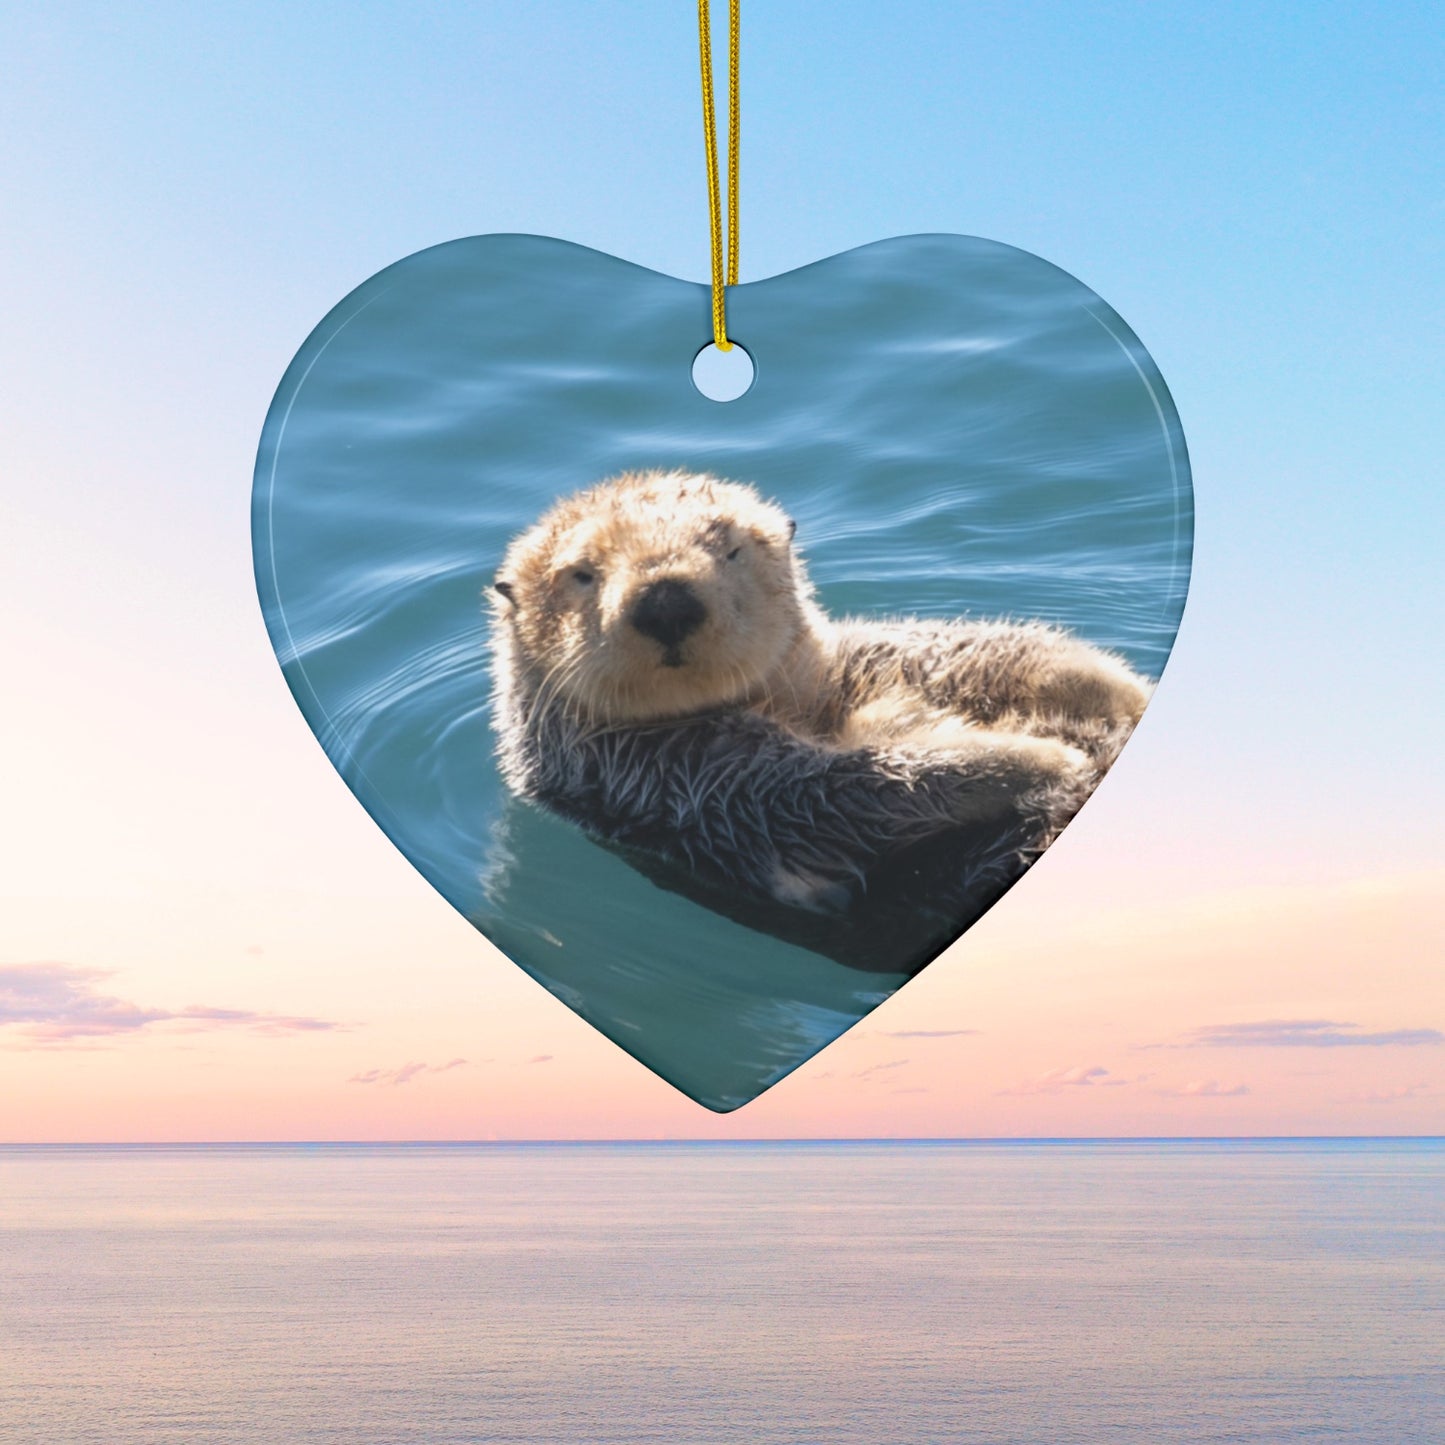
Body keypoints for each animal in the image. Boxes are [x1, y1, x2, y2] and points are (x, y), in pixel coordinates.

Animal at [489, 470, 1150, 969]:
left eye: (729, 548)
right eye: (582, 574)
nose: (666, 600)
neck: (786, 706)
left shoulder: (840, 669)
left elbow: (937, 652)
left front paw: (1099, 680)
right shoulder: (681, 780)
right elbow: (837, 791)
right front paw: (1043, 760)